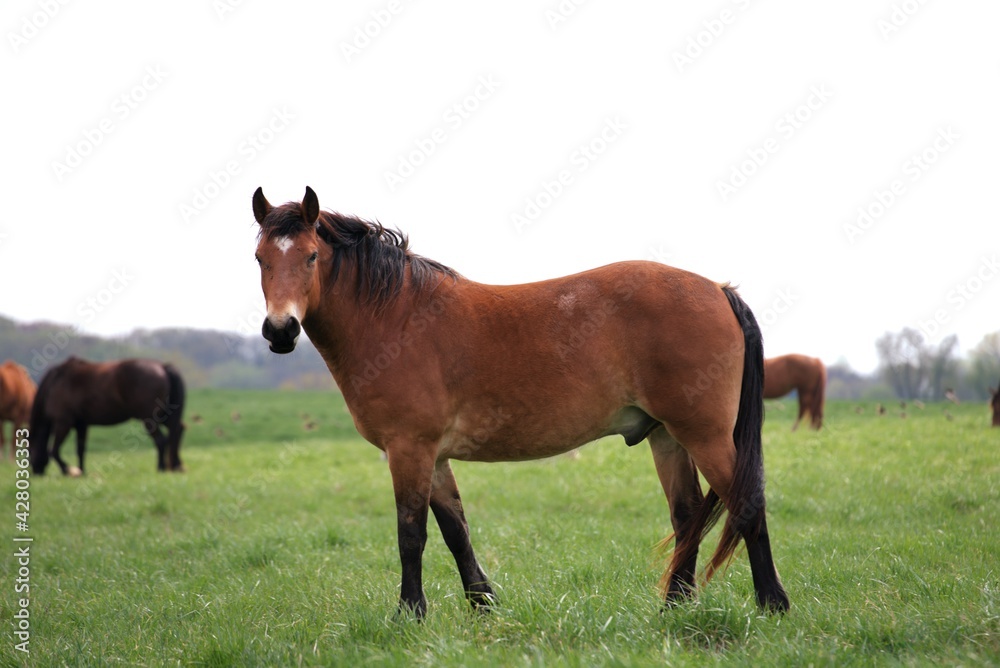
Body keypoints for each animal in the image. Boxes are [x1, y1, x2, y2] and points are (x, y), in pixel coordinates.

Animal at [29, 357, 186, 475]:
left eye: (28, 454)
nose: (36, 472)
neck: (55, 383)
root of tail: (162, 366)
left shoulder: (63, 422)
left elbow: (54, 451)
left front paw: (68, 470)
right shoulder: (81, 424)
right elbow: (80, 449)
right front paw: (81, 471)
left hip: (150, 419)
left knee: (161, 440)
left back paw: (161, 468)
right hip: (164, 416)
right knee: (177, 431)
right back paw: (176, 465)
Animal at [251, 186, 789, 617]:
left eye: (311, 257)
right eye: (260, 258)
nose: (280, 331)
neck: (397, 317)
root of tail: (718, 290)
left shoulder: (410, 449)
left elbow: (411, 533)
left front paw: (410, 613)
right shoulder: (434, 456)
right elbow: (455, 531)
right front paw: (482, 606)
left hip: (704, 434)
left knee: (745, 503)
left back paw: (773, 605)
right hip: (666, 436)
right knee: (687, 514)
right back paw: (675, 607)